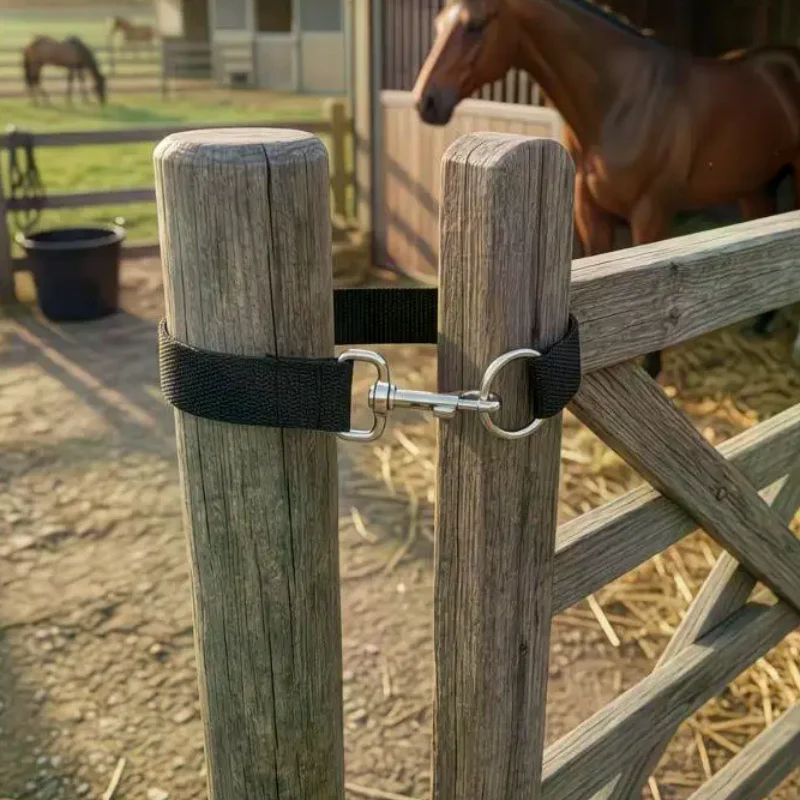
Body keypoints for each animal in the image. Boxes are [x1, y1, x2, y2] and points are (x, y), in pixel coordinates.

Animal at [412, 0, 800, 377]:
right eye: (438, 24)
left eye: (475, 24)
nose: (425, 101)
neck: (620, 102)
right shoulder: (591, 214)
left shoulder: (650, 215)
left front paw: (651, 369)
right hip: (755, 189)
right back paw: (760, 324)